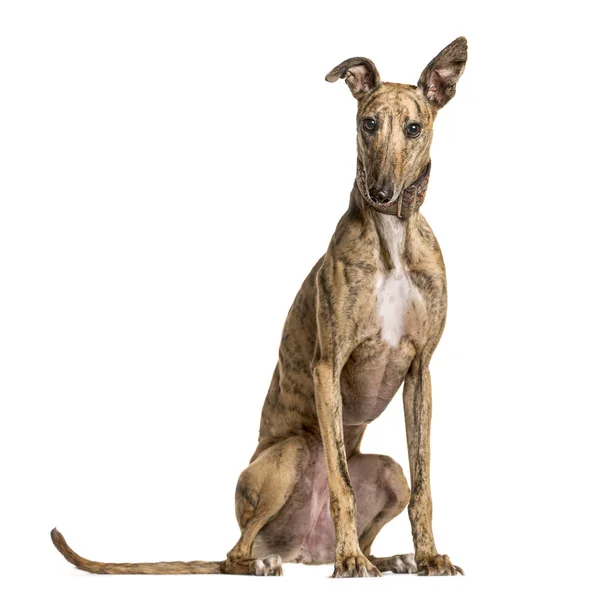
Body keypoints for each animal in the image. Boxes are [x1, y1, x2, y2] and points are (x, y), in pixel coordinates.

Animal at [52, 36, 466, 576]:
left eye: (414, 128)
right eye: (368, 123)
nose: (380, 193)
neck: (391, 240)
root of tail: (304, 547)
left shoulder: (420, 373)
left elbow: (424, 485)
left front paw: (429, 555)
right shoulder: (328, 367)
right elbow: (342, 484)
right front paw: (351, 562)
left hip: (389, 472)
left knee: (390, 493)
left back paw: (389, 556)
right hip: (287, 457)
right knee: (235, 553)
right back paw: (288, 561)